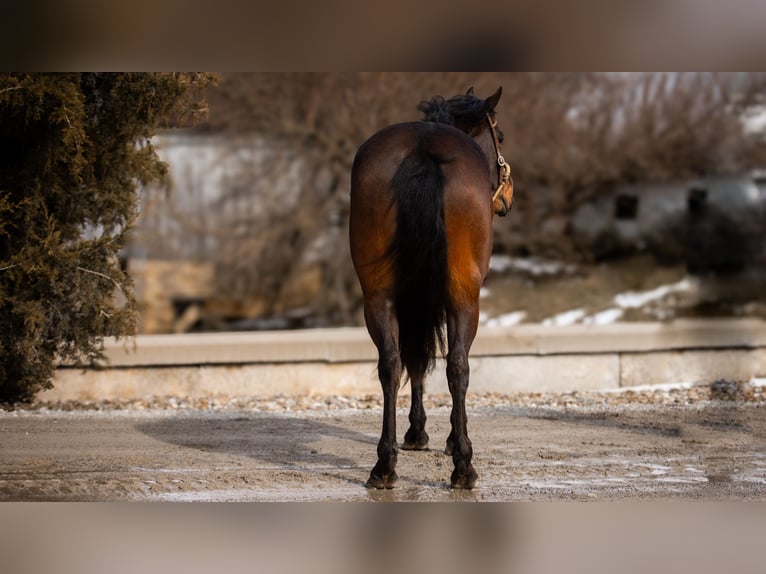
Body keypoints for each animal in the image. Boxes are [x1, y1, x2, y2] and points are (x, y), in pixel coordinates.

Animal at [352, 86, 512, 490]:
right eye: (500, 137)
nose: (507, 198)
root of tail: (422, 151)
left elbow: (414, 357)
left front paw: (414, 434)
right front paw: (442, 438)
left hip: (379, 296)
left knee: (391, 364)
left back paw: (384, 465)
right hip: (464, 298)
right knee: (458, 366)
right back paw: (464, 466)